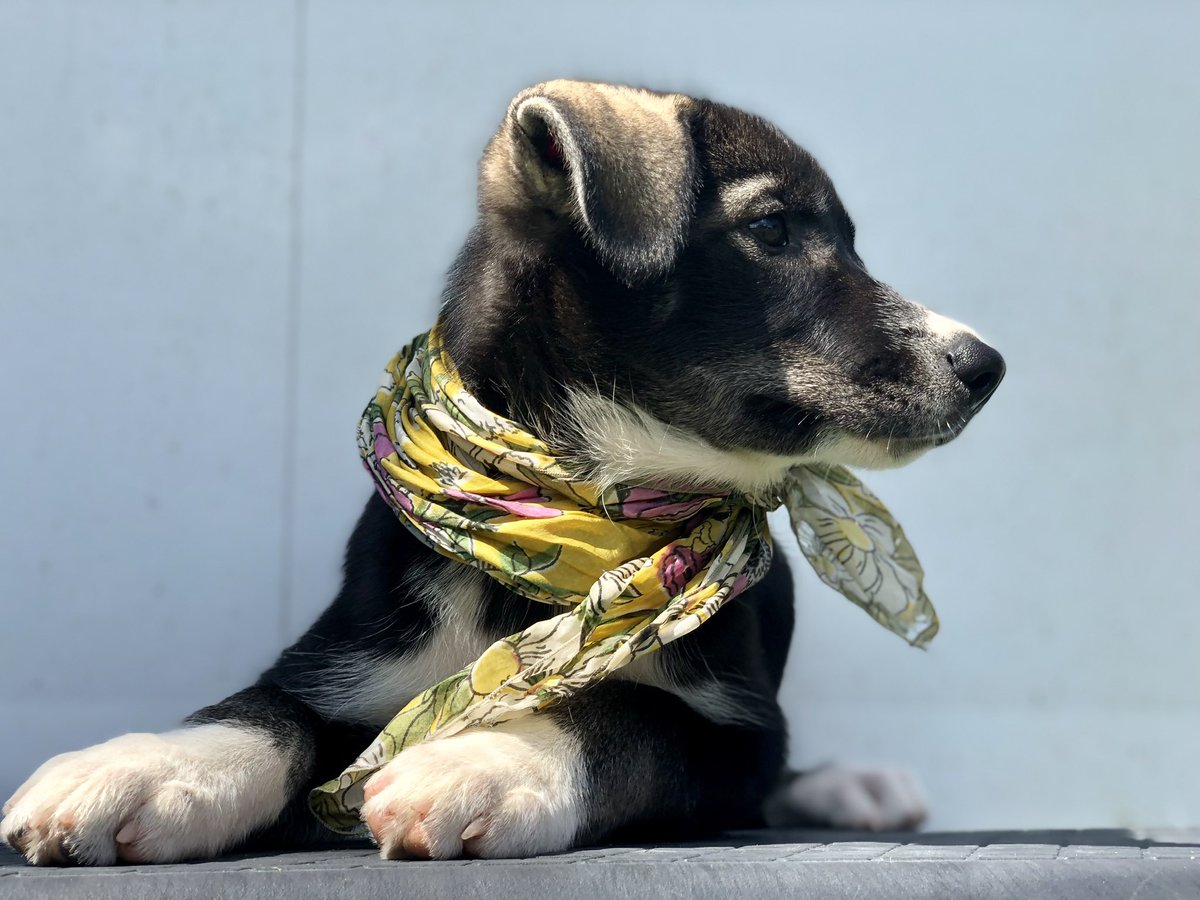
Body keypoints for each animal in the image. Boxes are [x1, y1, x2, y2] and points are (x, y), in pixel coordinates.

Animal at [0, 79, 1003, 868]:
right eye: (771, 227)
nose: (984, 365)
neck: (565, 514)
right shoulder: (338, 662)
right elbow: (260, 712)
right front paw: (138, 766)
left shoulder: (738, 730)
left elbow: (629, 715)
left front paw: (485, 762)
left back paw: (855, 787)